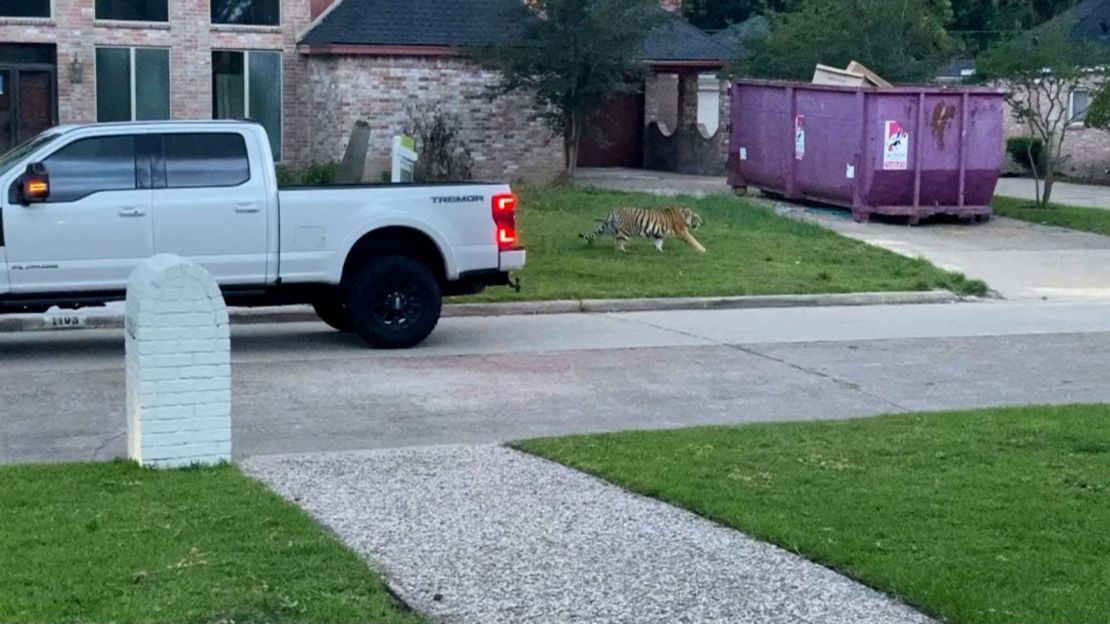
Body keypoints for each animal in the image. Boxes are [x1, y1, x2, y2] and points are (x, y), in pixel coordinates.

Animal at [577, 205, 705, 250]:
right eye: (696, 218)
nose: (702, 223)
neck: (683, 215)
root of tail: (614, 210)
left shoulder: (659, 234)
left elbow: (658, 242)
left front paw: (659, 251)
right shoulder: (682, 231)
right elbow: (693, 240)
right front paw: (702, 250)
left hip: (609, 227)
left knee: (595, 233)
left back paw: (589, 243)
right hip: (625, 231)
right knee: (618, 241)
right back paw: (622, 251)